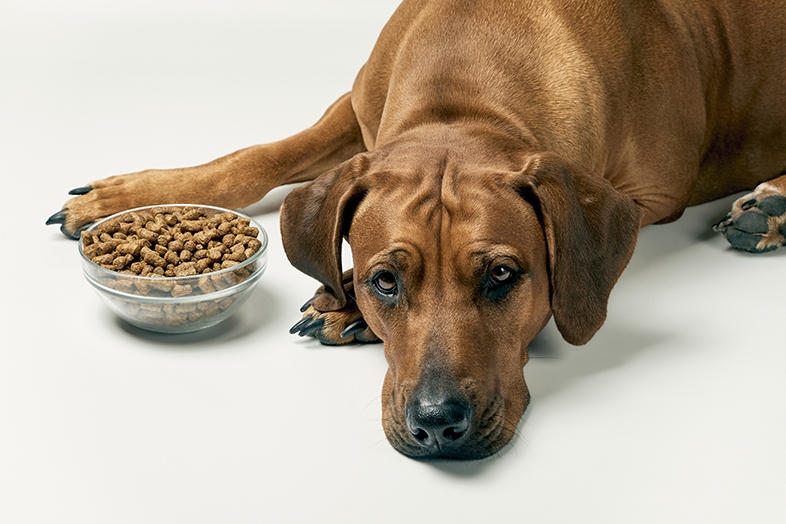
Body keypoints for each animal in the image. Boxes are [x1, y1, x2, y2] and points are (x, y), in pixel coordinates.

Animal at [49, 0, 784, 458]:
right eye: (386, 281)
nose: (438, 425)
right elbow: (258, 159)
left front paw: (340, 303)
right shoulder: (356, 105)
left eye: (502, 276)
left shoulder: (651, 194)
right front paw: (124, 196)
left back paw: (770, 205)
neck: (467, 89)